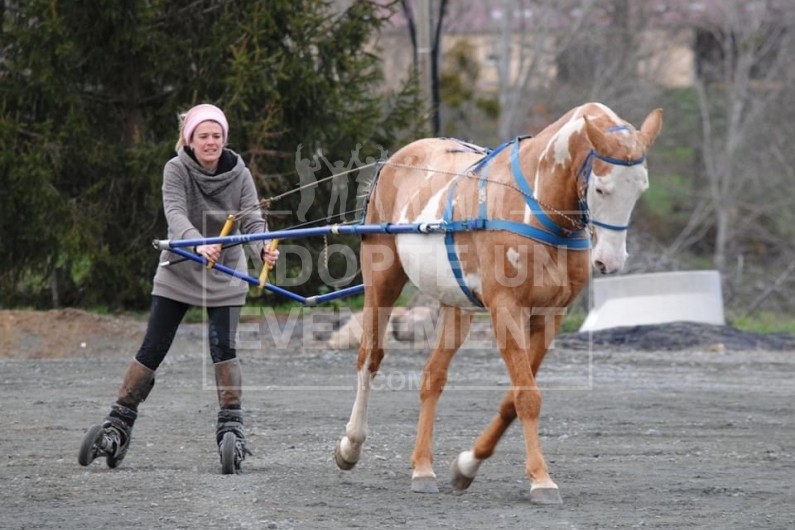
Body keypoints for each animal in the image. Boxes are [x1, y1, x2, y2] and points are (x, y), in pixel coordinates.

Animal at [332, 101, 664, 502]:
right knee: (370, 358)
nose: (610, 262)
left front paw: (467, 466)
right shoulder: (506, 308)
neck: (536, 208)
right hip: (383, 279)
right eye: (601, 187)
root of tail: (395, 161)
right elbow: (528, 397)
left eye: (641, 188)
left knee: (433, 377)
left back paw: (423, 467)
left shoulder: (551, 314)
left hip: (456, 304)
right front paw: (541, 479)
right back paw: (351, 445)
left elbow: (514, 397)